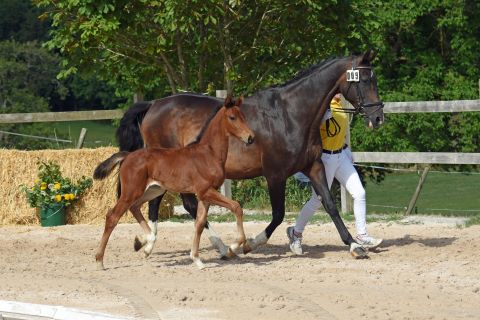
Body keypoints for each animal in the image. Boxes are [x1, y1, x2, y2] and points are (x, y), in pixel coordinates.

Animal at [91, 95, 253, 270]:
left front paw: (197, 260)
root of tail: (127, 155)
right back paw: (100, 260)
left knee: (135, 207)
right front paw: (236, 246)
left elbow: (200, 223)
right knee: (112, 216)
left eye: (244, 116)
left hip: (153, 189)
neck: (208, 153)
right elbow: (236, 207)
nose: (250, 137)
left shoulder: (205, 196)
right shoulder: (206, 191)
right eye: (232, 117)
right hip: (131, 191)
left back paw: (145, 241)